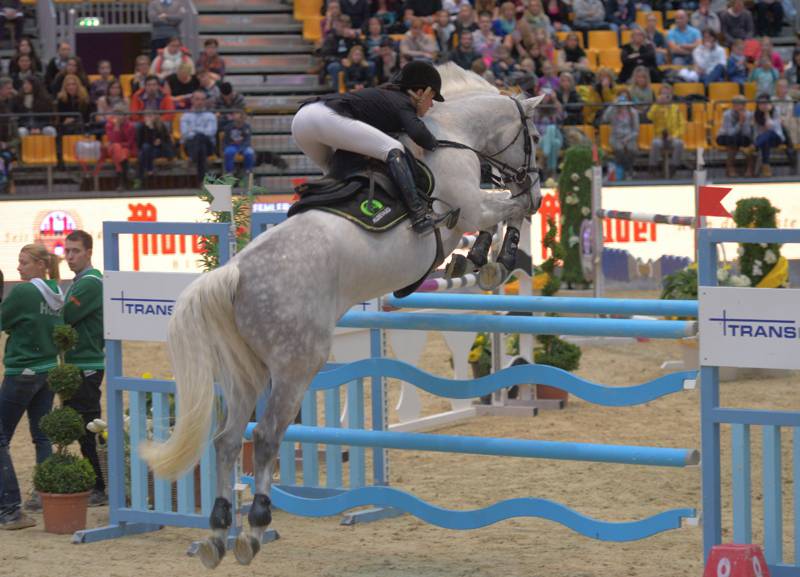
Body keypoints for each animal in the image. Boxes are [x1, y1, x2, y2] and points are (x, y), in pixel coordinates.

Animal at [142, 64, 544, 568]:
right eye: (534, 135)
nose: (537, 183)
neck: (453, 135)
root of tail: (233, 272)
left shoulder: (472, 208)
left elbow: (503, 214)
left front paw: (478, 258)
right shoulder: (470, 205)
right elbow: (511, 209)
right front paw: (496, 257)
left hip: (244, 370)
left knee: (228, 439)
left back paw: (217, 535)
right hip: (297, 363)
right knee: (267, 435)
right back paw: (254, 527)